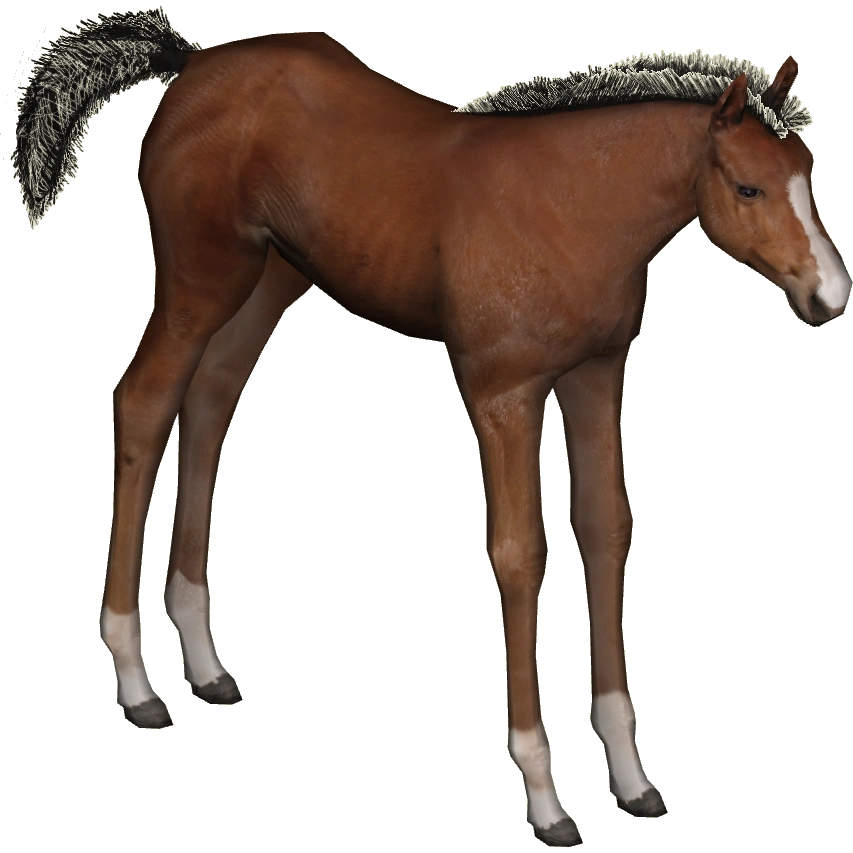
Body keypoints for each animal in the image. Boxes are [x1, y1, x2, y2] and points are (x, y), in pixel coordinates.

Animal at [11, 9, 850, 848]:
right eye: (746, 185)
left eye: (807, 171)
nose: (829, 296)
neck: (575, 206)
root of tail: (191, 62)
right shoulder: (503, 392)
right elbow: (518, 554)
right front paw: (545, 798)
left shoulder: (596, 373)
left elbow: (606, 531)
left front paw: (633, 779)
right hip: (199, 277)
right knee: (145, 400)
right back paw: (134, 681)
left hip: (269, 277)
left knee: (212, 400)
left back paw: (205, 665)